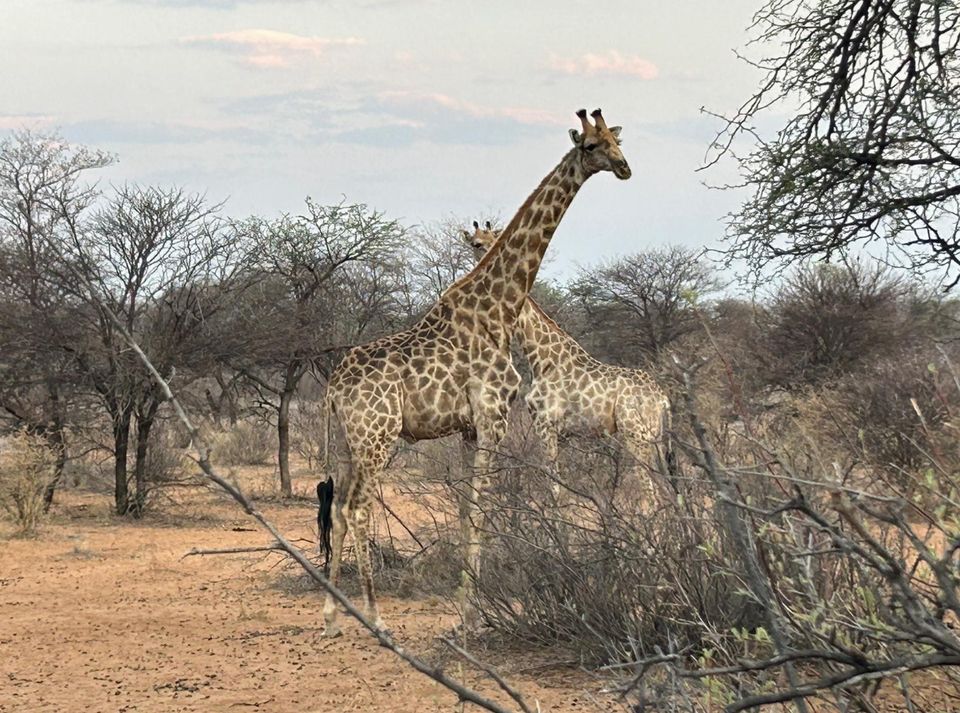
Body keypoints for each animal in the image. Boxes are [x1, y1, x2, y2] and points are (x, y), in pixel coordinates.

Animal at [318, 107, 632, 636]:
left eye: (615, 140)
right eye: (591, 146)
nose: (625, 168)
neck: (501, 307)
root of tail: (332, 391)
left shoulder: (467, 428)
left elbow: (467, 509)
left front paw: (469, 608)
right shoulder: (493, 418)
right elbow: (482, 507)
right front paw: (470, 615)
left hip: (347, 442)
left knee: (339, 510)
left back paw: (331, 616)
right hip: (377, 437)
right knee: (358, 508)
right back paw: (376, 616)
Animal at [464, 222, 676, 496]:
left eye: (494, 239)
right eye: (476, 244)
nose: (496, 261)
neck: (539, 358)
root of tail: (662, 399)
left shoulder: (545, 425)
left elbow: (555, 485)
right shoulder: (562, 434)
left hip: (636, 435)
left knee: (650, 491)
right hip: (657, 439)